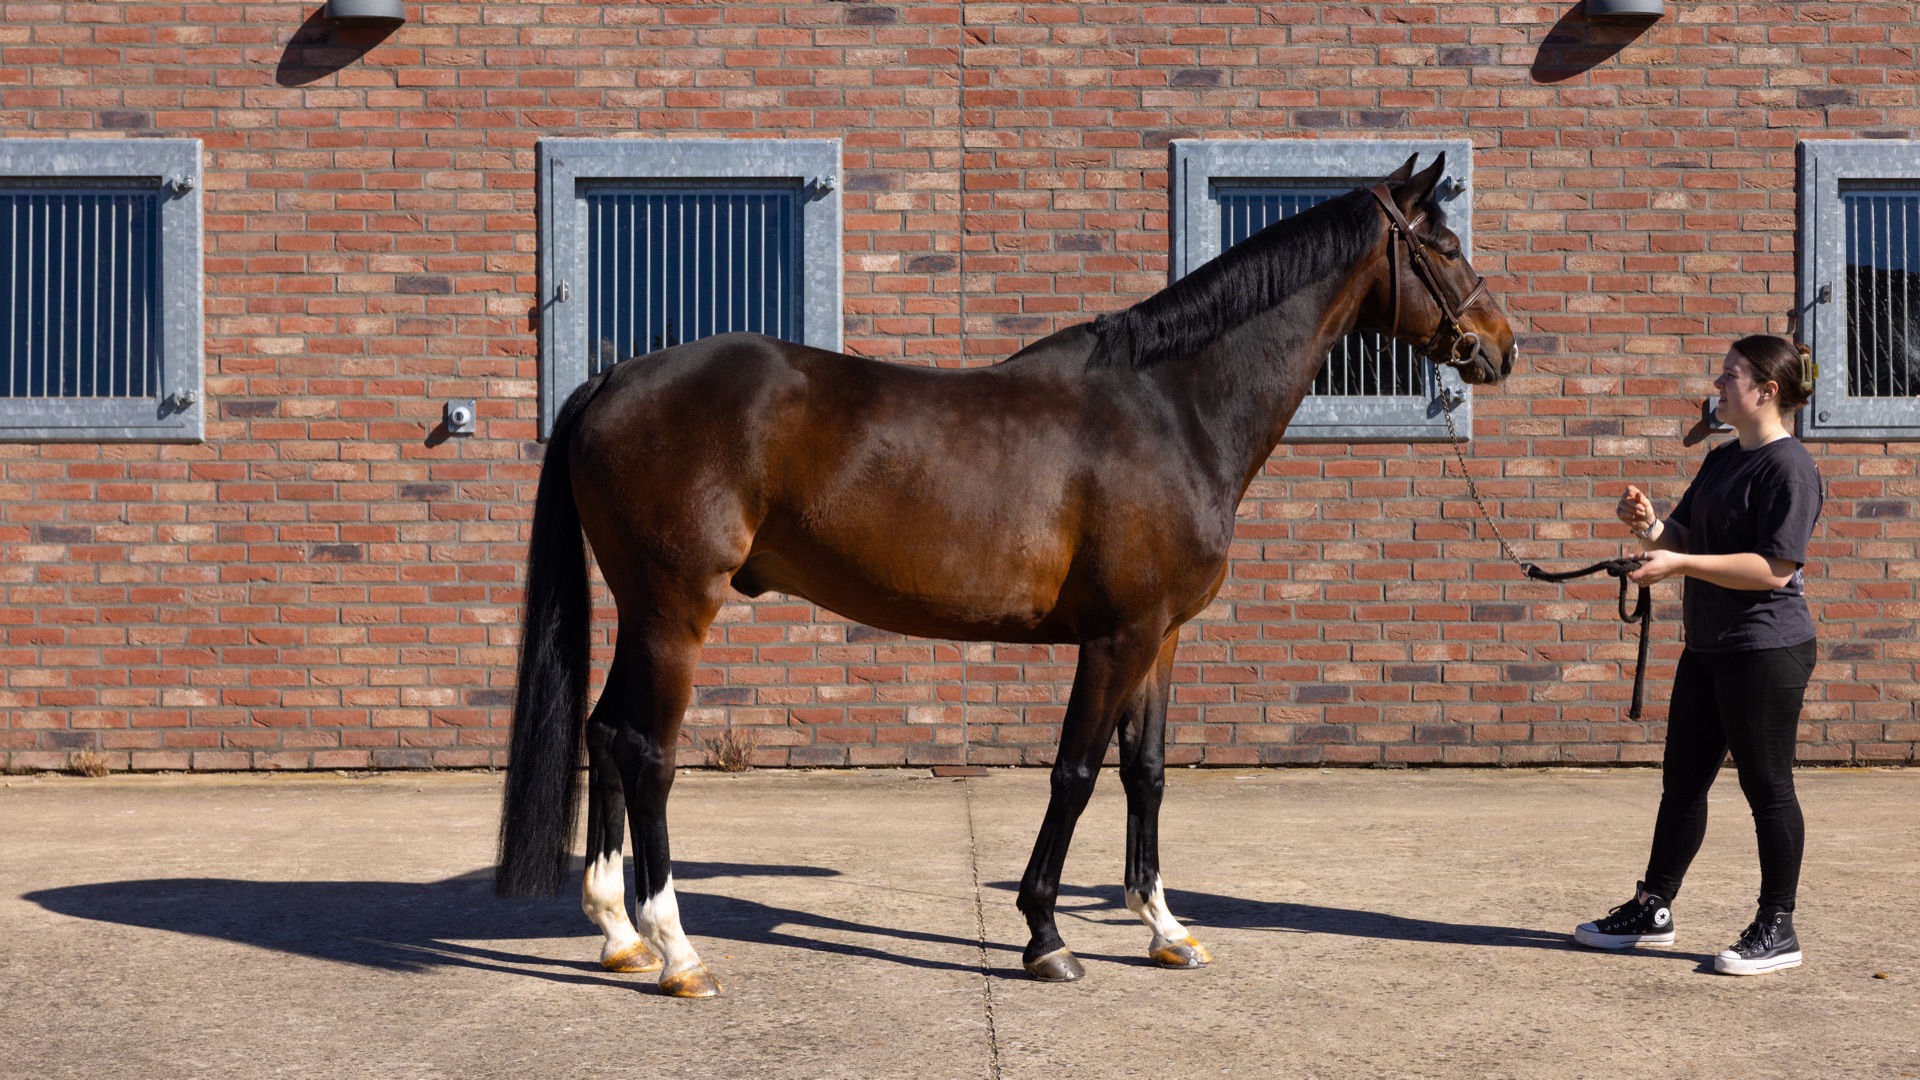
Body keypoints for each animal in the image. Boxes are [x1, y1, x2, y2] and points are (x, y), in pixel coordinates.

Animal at [495, 153, 1516, 997]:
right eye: (1446, 246)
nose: (1502, 346)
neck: (1172, 408)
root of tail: (611, 380)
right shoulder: (1116, 637)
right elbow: (1076, 772)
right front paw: (1046, 937)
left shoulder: (1162, 637)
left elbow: (1146, 773)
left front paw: (1165, 930)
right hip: (676, 610)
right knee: (647, 751)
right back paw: (677, 952)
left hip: (642, 610)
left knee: (604, 733)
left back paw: (618, 933)